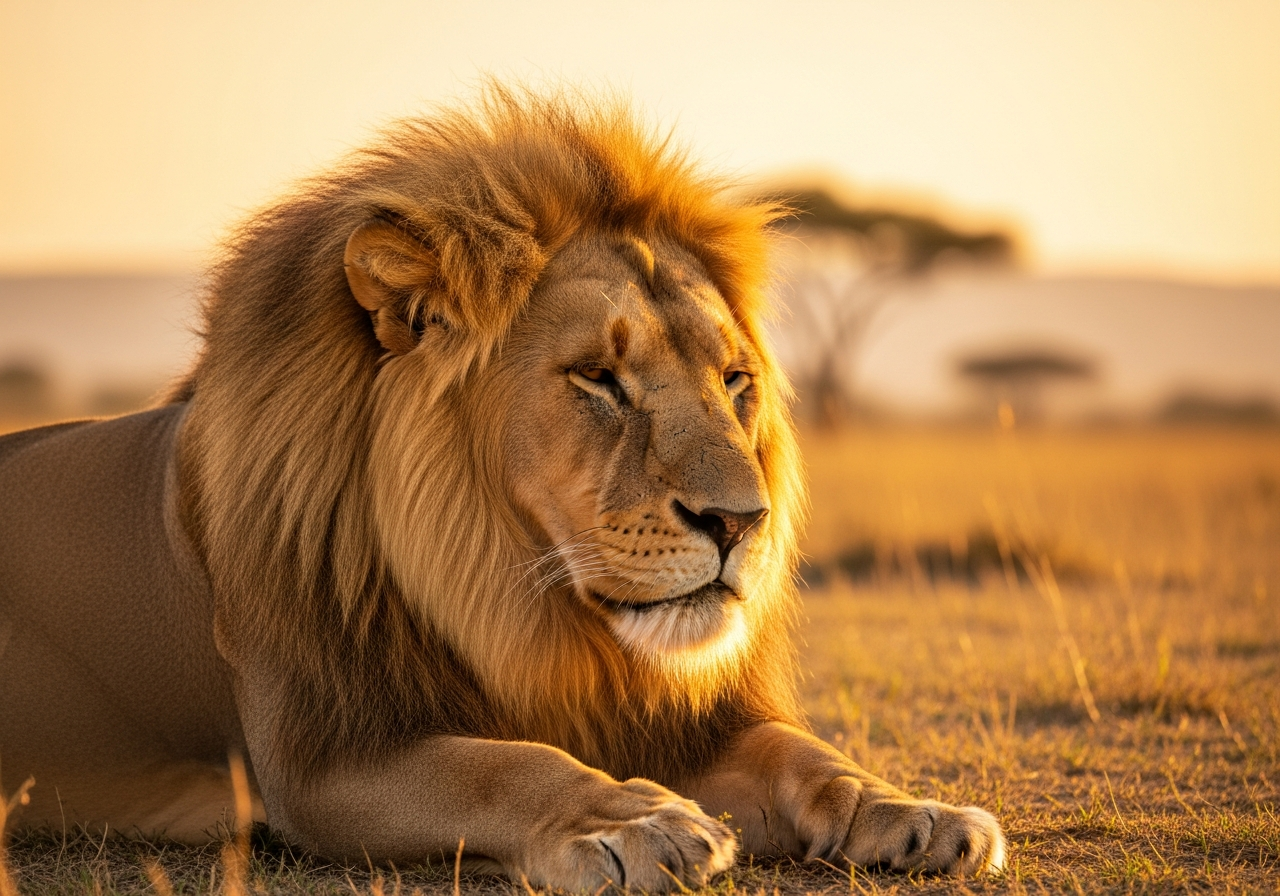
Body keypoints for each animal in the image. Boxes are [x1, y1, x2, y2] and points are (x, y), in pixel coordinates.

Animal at [0, 87, 1005, 889]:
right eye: (598, 377)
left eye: (733, 382)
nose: (740, 520)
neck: (522, 612)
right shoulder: (319, 762)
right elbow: (505, 766)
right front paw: (631, 822)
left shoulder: (658, 715)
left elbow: (802, 752)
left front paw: (909, 810)